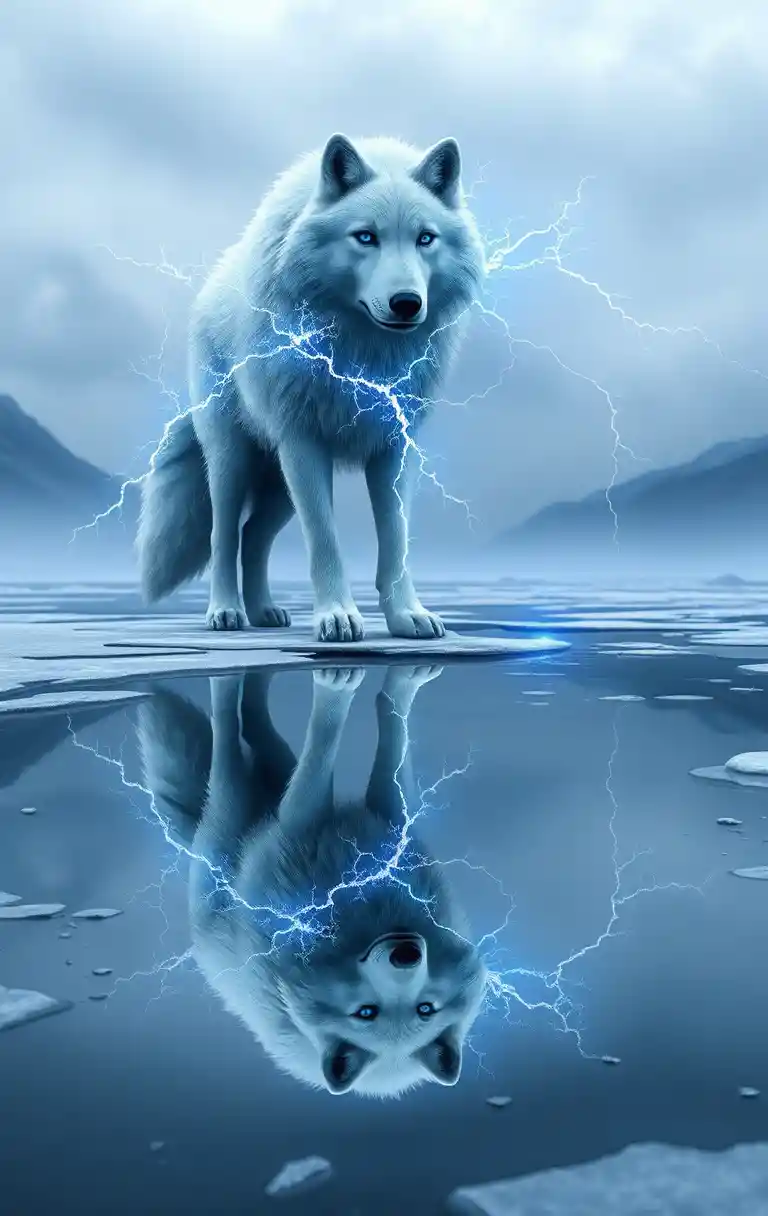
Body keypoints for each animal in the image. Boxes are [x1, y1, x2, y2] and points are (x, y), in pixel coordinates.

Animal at [137, 134, 486, 641]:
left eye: (425, 238)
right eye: (365, 236)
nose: (406, 303)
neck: (363, 354)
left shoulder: (394, 448)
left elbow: (396, 540)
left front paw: (407, 615)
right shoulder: (303, 442)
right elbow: (324, 538)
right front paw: (336, 616)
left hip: (279, 482)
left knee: (252, 537)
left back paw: (264, 612)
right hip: (235, 460)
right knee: (224, 534)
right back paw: (226, 612)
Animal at [138, 665, 487, 1097]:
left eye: (425, 1008)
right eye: (366, 1012)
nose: (405, 954)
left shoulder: (332, 819)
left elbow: (353, 736)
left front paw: (364, 689)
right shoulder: (355, 819)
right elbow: (364, 731)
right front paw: (382, 685)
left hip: (235, 810)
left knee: (239, 740)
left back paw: (237, 681)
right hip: (246, 805)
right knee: (247, 731)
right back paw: (249, 671)